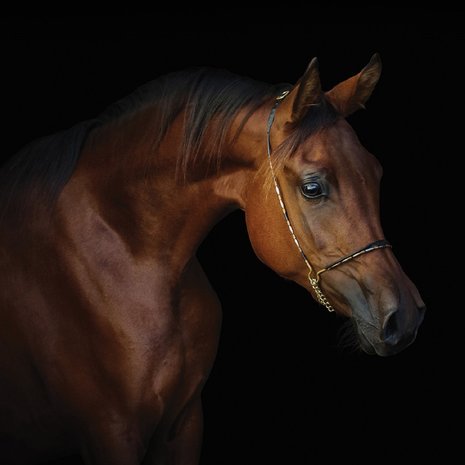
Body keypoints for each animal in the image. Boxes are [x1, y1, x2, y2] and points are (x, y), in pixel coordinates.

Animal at [0, 52, 424, 462]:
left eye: (376, 173)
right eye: (312, 187)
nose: (405, 315)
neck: (128, 253)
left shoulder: (184, 423)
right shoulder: (111, 432)